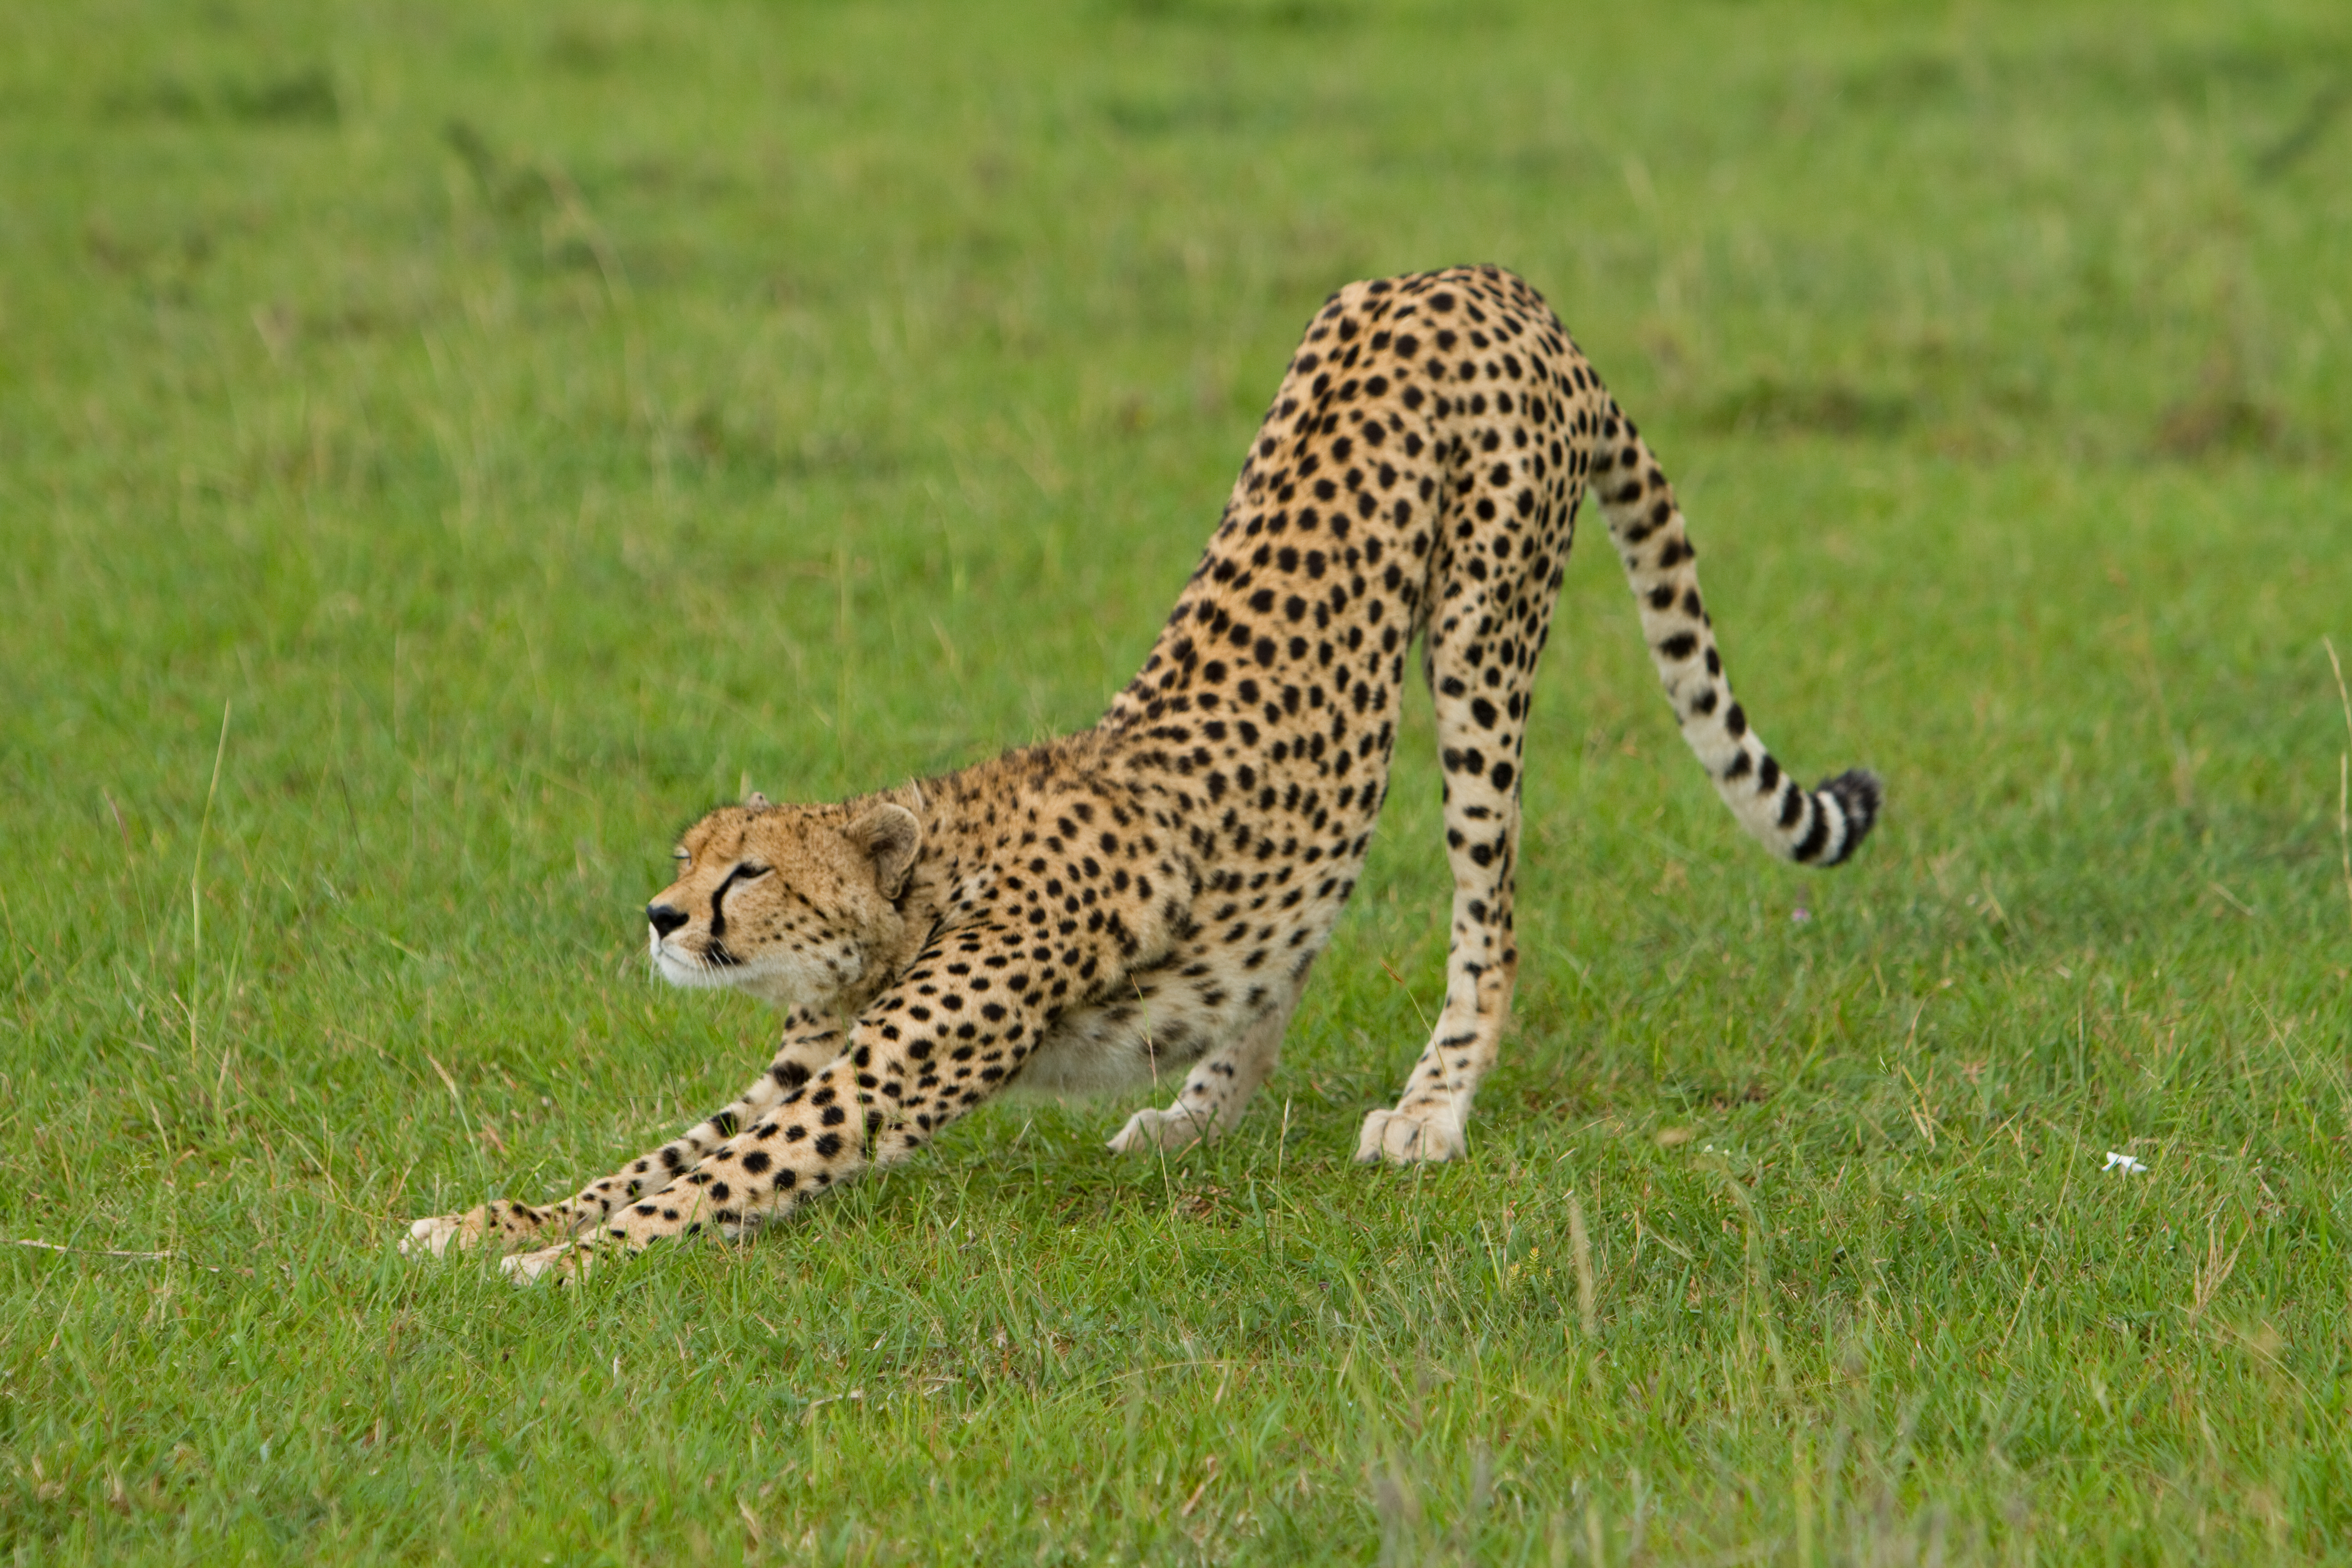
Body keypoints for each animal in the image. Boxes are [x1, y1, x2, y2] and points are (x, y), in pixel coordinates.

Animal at [403, 266, 1881, 1282]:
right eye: (686, 856)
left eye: (748, 872)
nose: (659, 917)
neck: (921, 892)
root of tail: (1477, 277)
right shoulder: (810, 1065)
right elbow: (658, 1154)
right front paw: (490, 1218)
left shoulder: (871, 1083)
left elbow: (703, 1182)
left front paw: (553, 1263)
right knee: (1293, 936)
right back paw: (1198, 1110)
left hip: (1481, 638)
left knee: (1490, 911)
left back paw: (1429, 1107)